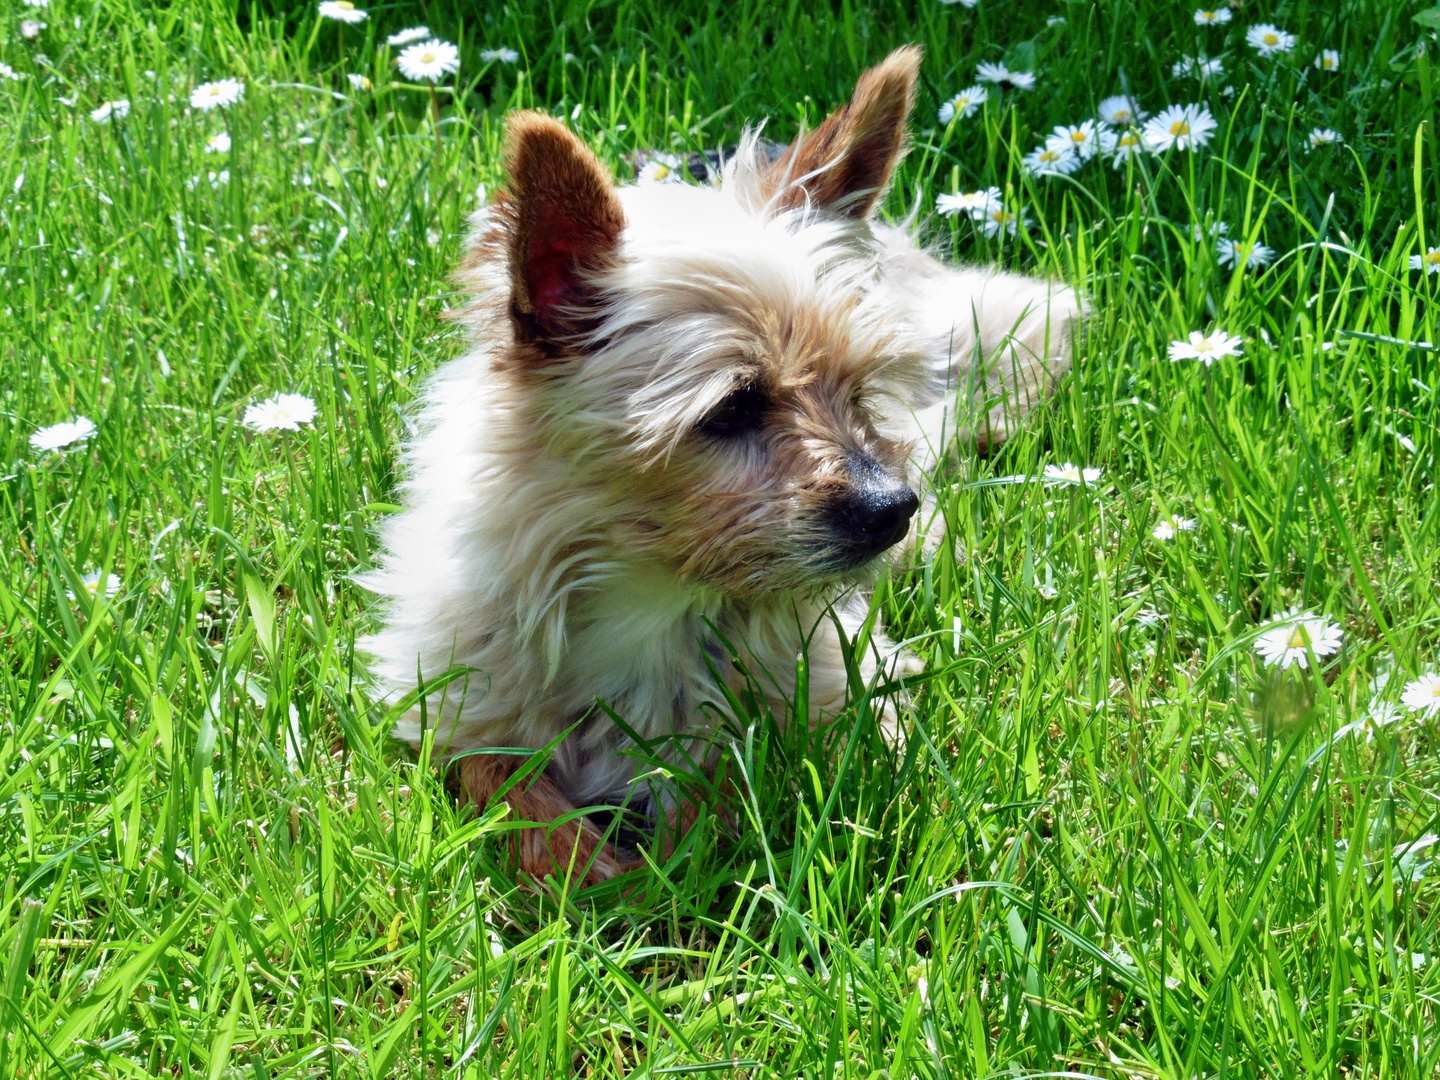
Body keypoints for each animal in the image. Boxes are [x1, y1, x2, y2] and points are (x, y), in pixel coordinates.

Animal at [360, 46, 1082, 881]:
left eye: (858, 391)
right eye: (732, 409)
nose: (892, 508)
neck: (652, 601)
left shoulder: (850, 697)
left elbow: (747, 781)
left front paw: (682, 851)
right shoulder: (454, 707)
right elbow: (503, 788)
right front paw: (586, 866)